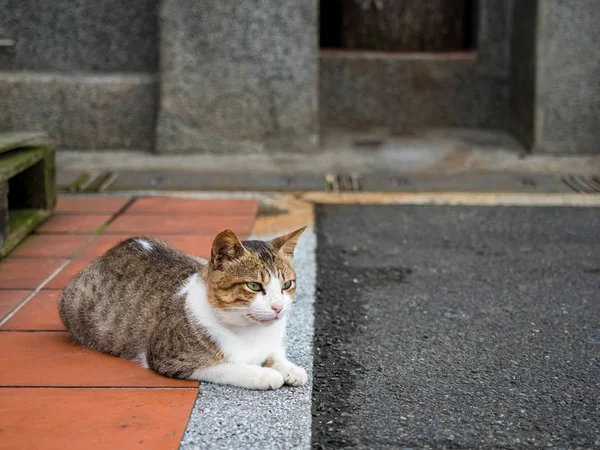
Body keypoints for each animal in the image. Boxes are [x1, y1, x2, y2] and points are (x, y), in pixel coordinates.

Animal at [58, 227, 308, 388]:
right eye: (254, 285)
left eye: (286, 285)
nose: (278, 307)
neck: (251, 330)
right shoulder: (169, 358)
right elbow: (229, 366)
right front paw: (264, 374)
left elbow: (276, 352)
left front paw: (289, 368)